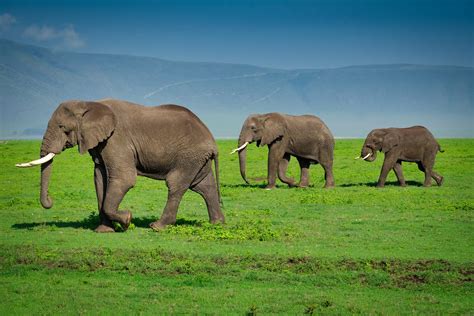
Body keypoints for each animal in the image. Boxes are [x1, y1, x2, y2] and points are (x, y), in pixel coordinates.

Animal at [17, 99, 225, 232]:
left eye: (62, 127)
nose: (50, 200)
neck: (90, 104)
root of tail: (213, 142)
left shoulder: (116, 139)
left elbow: (124, 179)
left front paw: (126, 220)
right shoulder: (100, 143)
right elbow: (99, 179)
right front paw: (104, 231)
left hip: (189, 157)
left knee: (176, 184)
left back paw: (157, 227)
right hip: (197, 159)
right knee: (204, 186)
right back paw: (217, 224)